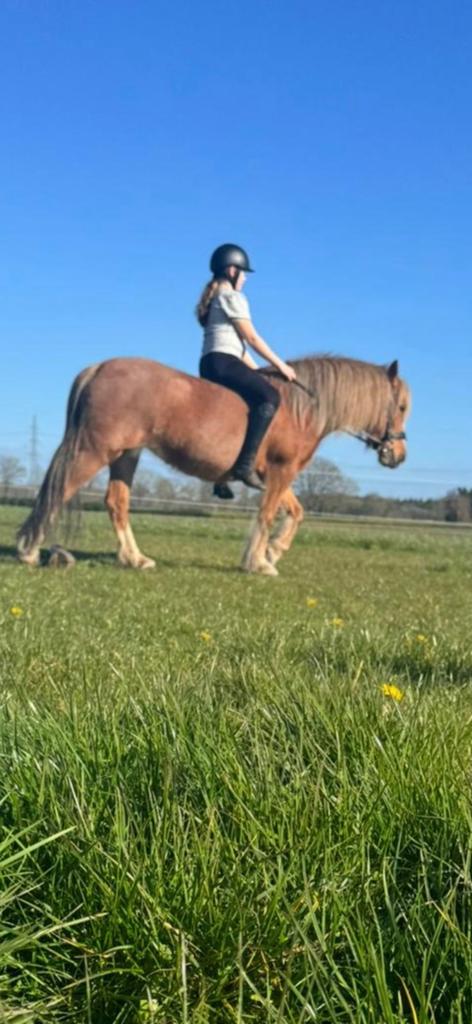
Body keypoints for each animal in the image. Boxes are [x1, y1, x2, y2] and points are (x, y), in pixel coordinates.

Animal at [16, 354, 410, 576]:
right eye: (403, 406)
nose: (398, 456)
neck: (302, 408)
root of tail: (97, 368)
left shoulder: (273, 475)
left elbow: (296, 512)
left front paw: (273, 551)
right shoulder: (281, 471)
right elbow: (268, 515)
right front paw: (259, 562)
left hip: (125, 455)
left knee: (116, 503)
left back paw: (135, 559)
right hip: (95, 450)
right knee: (59, 491)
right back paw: (29, 551)